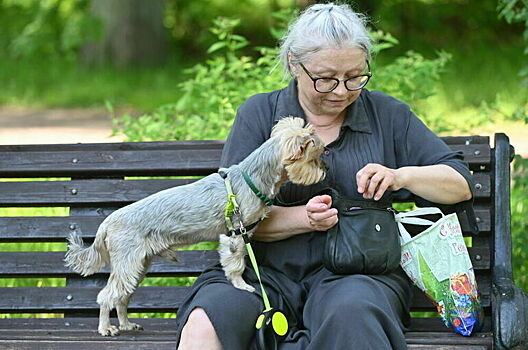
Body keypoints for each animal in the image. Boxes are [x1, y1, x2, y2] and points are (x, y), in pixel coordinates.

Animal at [64, 117, 324, 336]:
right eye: (314, 158)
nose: (325, 169)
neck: (252, 177)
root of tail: (107, 223)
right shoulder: (234, 235)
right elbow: (236, 265)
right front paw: (242, 286)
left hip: (137, 266)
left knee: (122, 298)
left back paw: (127, 324)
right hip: (128, 264)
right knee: (107, 296)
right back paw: (106, 328)